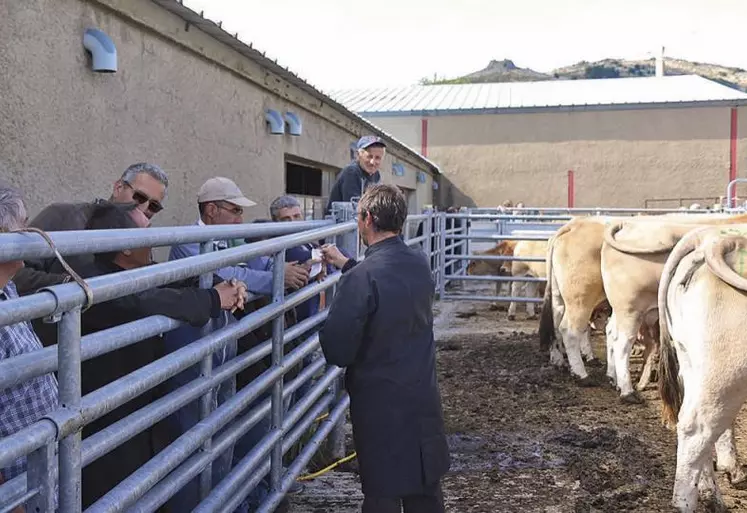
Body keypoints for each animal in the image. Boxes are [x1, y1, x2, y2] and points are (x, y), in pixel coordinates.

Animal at [600, 211, 747, 400]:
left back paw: (615, 379)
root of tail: (626, 224)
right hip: (630, 309)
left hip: (623, 310)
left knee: (611, 331)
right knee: (623, 343)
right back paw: (628, 391)